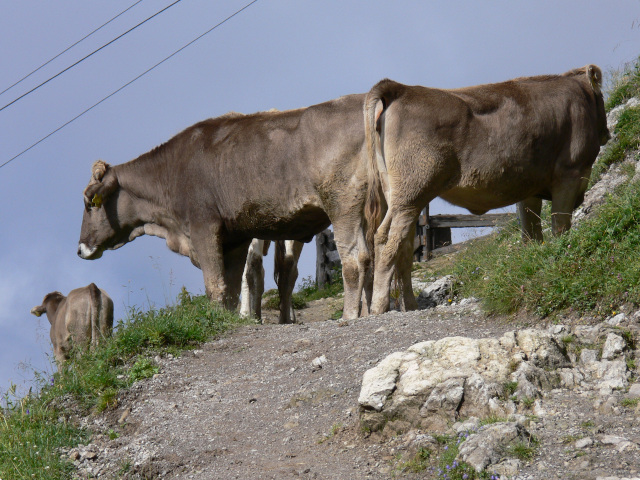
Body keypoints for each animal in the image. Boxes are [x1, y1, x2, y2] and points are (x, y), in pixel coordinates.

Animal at [77, 97, 372, 318]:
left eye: (90, 202)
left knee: (353, 260)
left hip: (343, 205)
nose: (80, 249)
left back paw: (350, 316)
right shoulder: (235, 238)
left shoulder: (204, 229)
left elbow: (216, 287)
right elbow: (230, 289)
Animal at [364, 66, 608, 316]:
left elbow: (531, 232)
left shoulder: (529, 188)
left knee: (403, 247)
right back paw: (379, 307)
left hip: (403, 198)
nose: (607, 133)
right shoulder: (570, 175)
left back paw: (410, 306)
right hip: (410, 196)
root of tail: (401, 88)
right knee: (387, 240)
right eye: (601, 96)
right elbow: (560, 226)